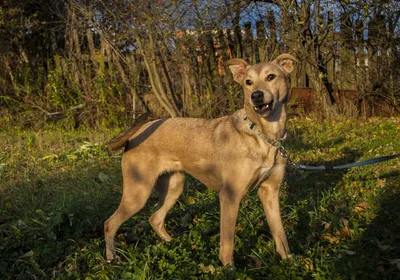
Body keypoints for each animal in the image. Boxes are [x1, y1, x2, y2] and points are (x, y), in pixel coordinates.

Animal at [106, 53, 296, 266]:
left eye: (271, 77)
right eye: (248, 82)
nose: (256, 96)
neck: (264, 135)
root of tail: (135, 134)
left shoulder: (270, 192)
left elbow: (280, 232)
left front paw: (288, 259)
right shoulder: (230, 195)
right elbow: (228, 241)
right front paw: (228, 267)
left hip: (174, 187)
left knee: (155, 218)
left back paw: (172, 243)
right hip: (139, 192)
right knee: (109, 223)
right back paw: (111, 258)